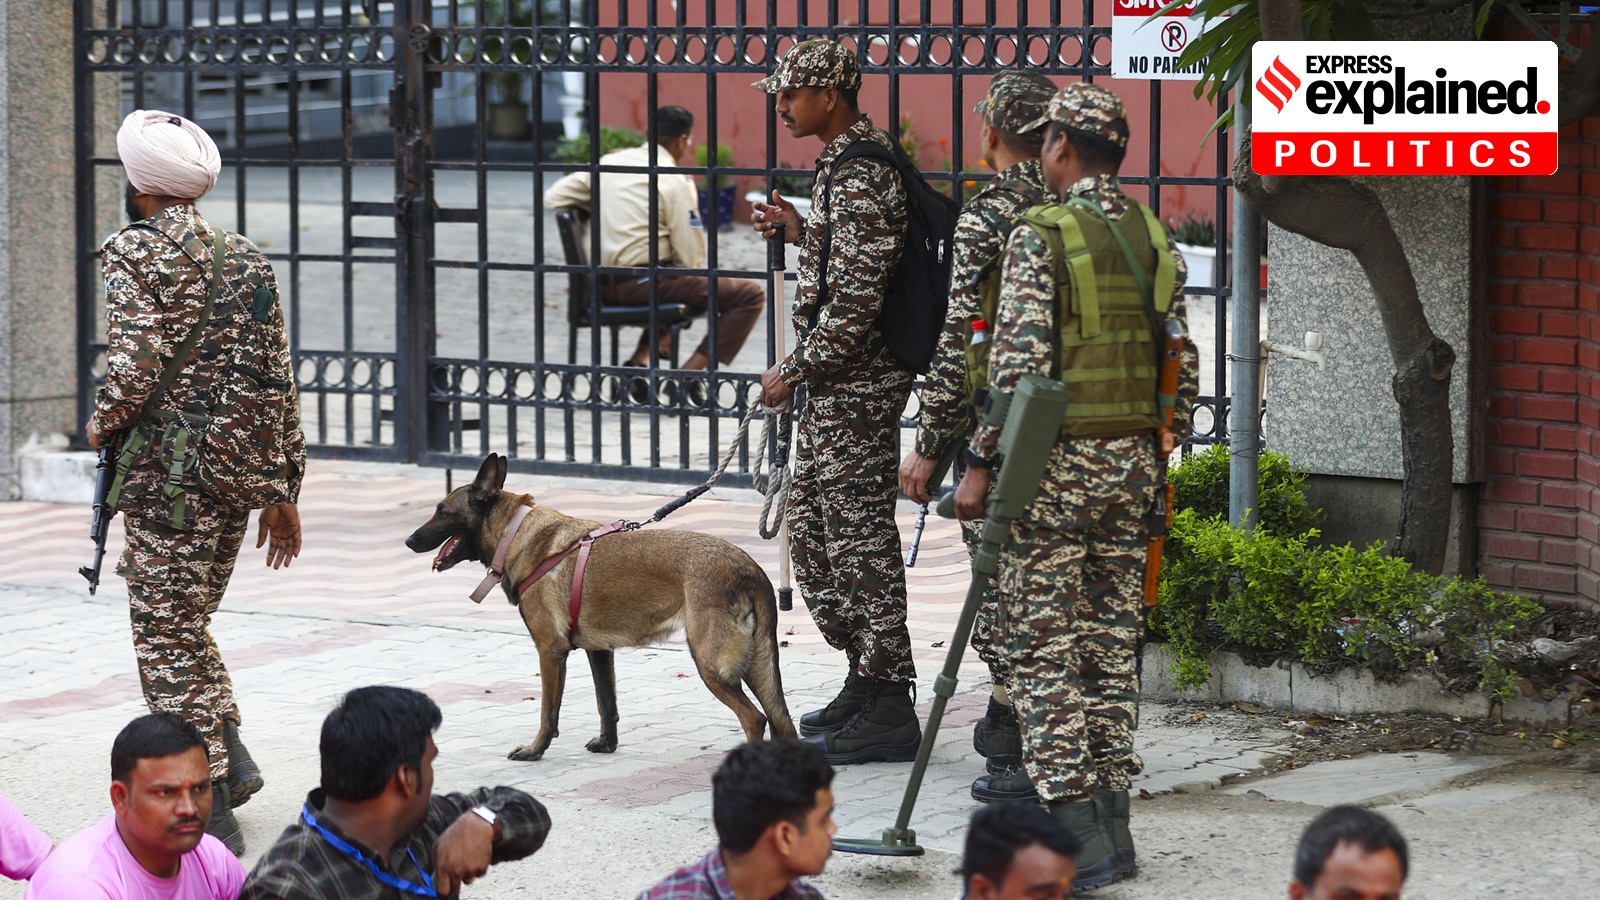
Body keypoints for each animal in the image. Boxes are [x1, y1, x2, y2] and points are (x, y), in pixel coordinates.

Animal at [405, 453, 796, 760]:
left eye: (442, 512)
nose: (408, 541)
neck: (513, 534)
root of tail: (749, 568)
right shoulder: (599, 651)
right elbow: (606, 703)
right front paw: (607, 745)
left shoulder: (549, 651)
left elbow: (548, 712)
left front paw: (535, 750)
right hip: (758, 667)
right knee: (782, 721)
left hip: (711, 665)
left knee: (755, 719)